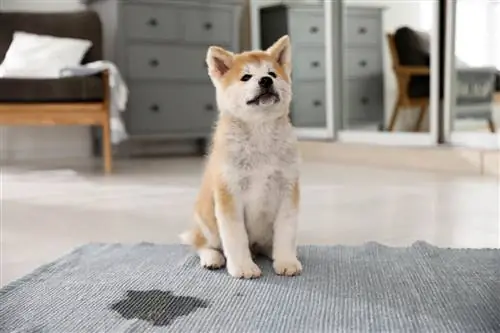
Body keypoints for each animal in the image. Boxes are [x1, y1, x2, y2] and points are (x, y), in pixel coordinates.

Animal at [182, 35, 302, 278]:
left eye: (272, 73)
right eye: (246, 77)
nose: (265, 81)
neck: (260, 133)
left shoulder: (287, 189)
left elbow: (286, 232)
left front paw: (286, 261)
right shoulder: (230, 193)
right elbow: (235, 237)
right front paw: (243, 267)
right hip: (207, 220)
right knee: (201, 243)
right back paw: (212, 257)